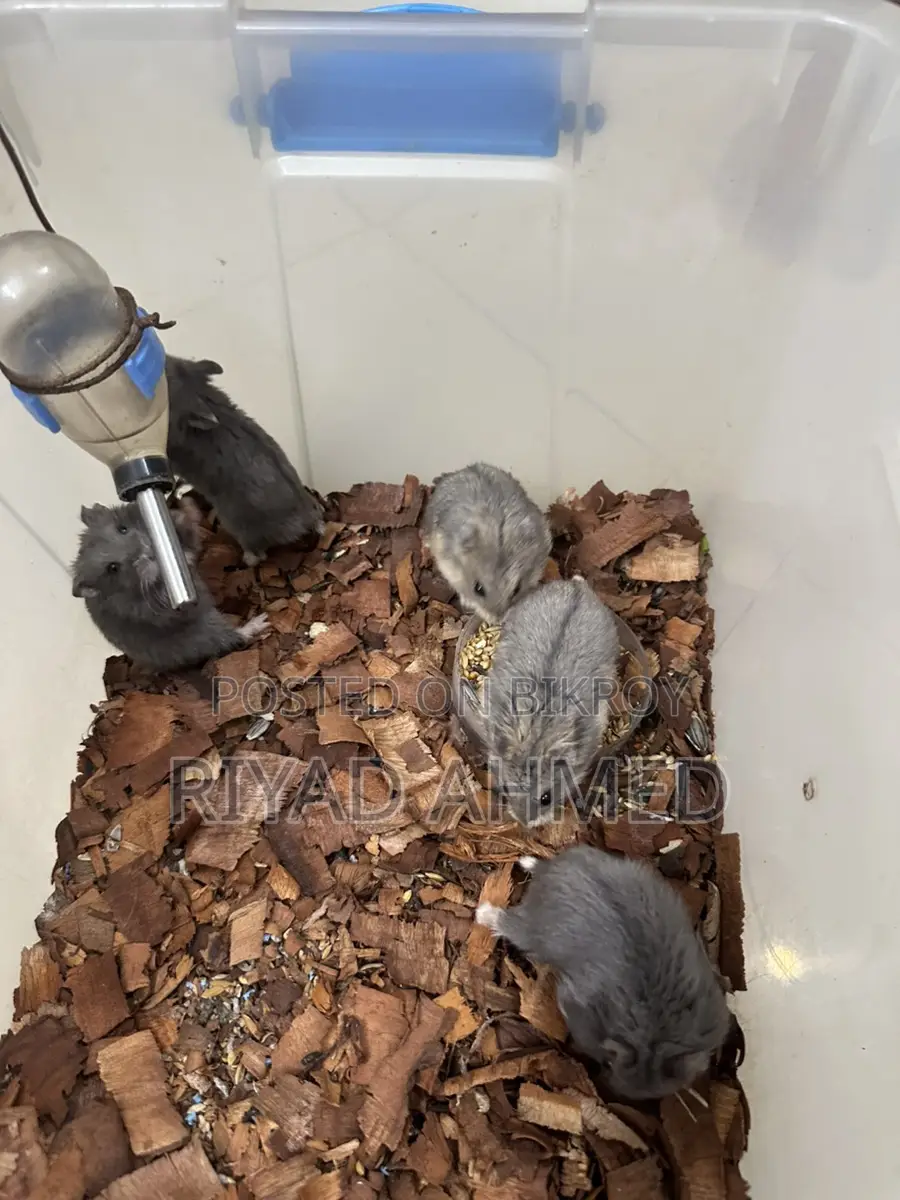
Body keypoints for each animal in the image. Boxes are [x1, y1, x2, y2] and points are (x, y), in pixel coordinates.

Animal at [72, 501, 269, 673]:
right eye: (113, 568)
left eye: (123, 528)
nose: (148, 551)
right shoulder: (155, 609)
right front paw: (186, 559)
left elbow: (186, 528)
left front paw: (187, 511)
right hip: (202, 631)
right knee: (230, 637)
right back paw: (261, 621)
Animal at [476, 846, 731, 1100]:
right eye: (607, 1063)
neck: (656, 1040)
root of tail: (552, 873)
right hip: (533, 931)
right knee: (506, 922)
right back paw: (482, 912)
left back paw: (525, 862)